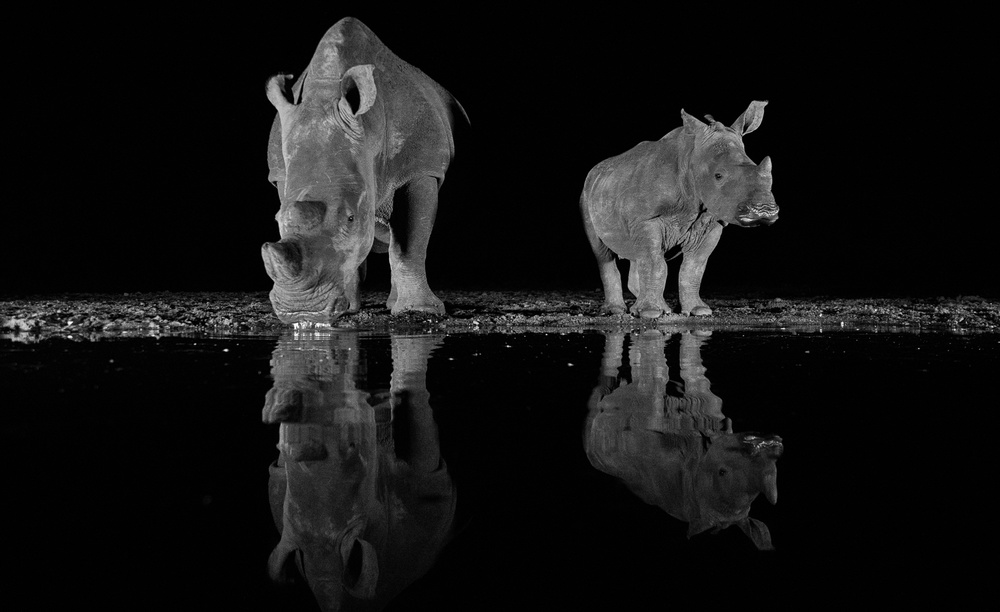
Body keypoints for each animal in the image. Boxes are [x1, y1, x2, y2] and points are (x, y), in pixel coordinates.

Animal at [266, 16, 468, 322]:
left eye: (351, 218)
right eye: (277, 219)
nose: (301, 309)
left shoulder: (421, 168)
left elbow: (410, 243)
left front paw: (418, 311)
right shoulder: (281, 175)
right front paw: (347, 308)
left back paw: (396, 305)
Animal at [584, 101, 776, 318]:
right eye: (718, 176)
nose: (764, 211)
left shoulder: (713, 222)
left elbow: (693, 267)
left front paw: (699, 311)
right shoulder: (646, 219)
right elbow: (654, 263)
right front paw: (650, 313)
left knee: (636, 254)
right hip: (587, 190)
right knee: (603, 254)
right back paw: (616, 310)